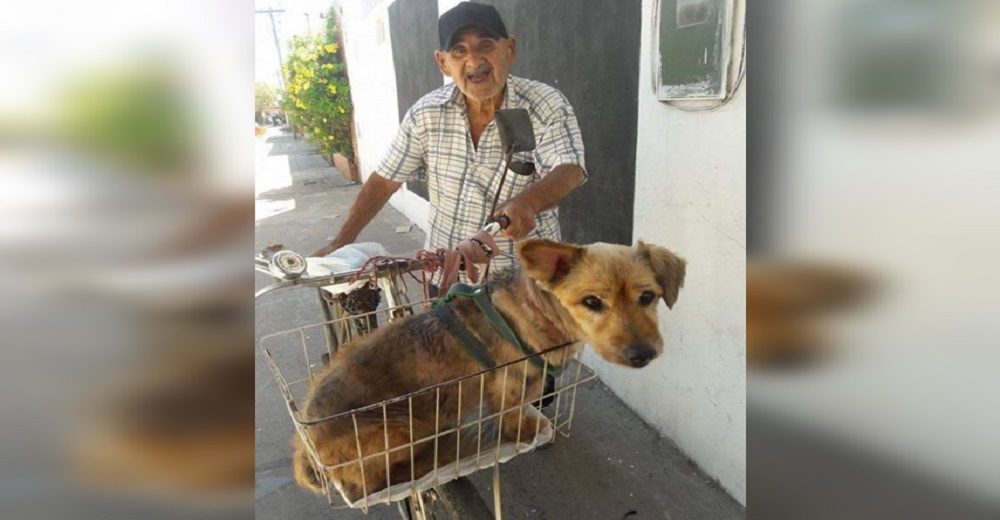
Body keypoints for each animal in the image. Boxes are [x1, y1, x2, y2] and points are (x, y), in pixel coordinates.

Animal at [292, 239, 688, 500]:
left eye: (647, 297)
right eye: (592, 302)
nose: (643, 354)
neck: (537, 313)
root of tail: (306, 449)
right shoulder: (509, 386)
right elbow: (511, 416)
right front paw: (524, 431)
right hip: (401, 427)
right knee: (375, 483)